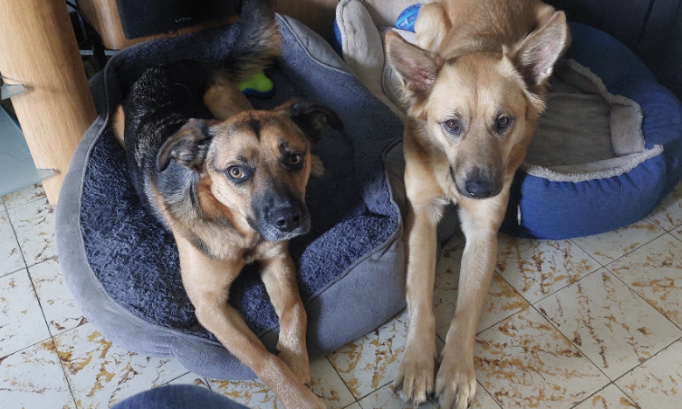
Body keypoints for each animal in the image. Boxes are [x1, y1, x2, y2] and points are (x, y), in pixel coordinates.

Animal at [111, 1, 341, 407]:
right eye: (236, 172)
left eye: (294, 158)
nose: (289, 220)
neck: (237, 228)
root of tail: (170, 62)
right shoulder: (210, 306)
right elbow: (263, 360)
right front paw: (298, 395)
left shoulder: (277, 259)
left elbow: (294, 310)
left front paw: (297, 365)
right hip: (119, 121)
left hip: (224, 100)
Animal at [384, 0, 569, 408]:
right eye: (452, 125)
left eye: (503, 121)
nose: (479, 189)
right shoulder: (422, 217)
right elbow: (419, 296)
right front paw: (417, 362)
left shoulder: (483, 231)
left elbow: (465, 310)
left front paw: (455, 372)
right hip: (429, 19)